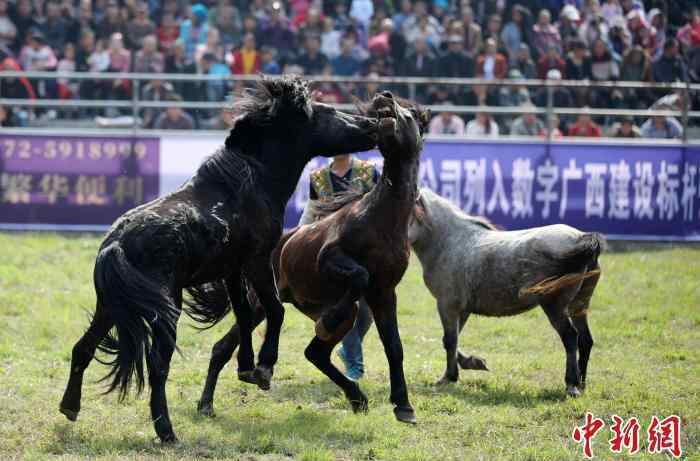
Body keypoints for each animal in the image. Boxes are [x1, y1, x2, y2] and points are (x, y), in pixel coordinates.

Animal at [58, 76, 378, 442]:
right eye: (327, 112)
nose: (372, 124)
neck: (249, 183)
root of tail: (116, 246)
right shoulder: (256, 260)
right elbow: (275, 310)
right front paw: (263, 368)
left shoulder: (233, 270)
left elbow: (243, 315)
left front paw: (246, 367)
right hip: (165, 310)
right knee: (157, 365)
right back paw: (166, 431)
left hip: (110, 307)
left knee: (83, 348)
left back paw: (70, 406)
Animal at [194, 92, 430, 424]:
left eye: (408, 117)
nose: (385, 96)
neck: (383, 219)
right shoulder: (329, 257)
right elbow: (359, 275)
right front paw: (327, 321)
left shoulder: (384, 292)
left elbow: (394, 347)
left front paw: (404, 406)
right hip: (260, 303)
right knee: (223, 347)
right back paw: (207, 404)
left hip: (335, 311)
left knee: (313, 353)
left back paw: (357, 397)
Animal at [410, 187, 600, 396]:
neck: (451, 242)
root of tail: (581, 238)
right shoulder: (462, 309)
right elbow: (454, 339)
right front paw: (473, 363)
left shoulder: (447, 305)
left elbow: (450, 340)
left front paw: (449, 377)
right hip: (578, 305)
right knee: (585, 339)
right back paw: (581, 384)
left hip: (555, 307)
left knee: (570, 337)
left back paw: (571, 385)